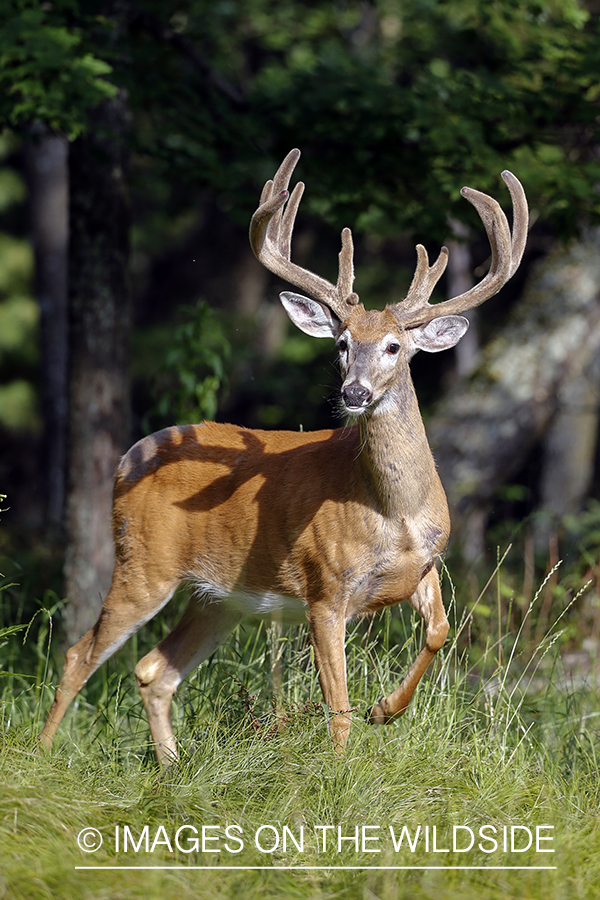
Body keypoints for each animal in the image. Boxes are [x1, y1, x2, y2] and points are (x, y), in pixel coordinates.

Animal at [42, 151, 528, 764]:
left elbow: (439, 634)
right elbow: (337, 707)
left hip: (220, 597)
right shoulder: (325, 587)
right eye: (341, 344)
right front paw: (343, 770)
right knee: (79, 654)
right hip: (143, 563)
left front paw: (385, 710)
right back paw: (39, 755)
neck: (393, 512)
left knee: (156, 670)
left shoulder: (425, 567)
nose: (353, 393)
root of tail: (129, 457)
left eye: (394, 346)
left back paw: (171, 766)